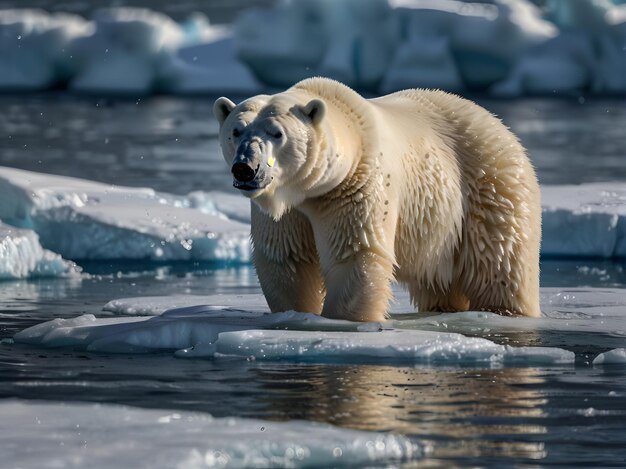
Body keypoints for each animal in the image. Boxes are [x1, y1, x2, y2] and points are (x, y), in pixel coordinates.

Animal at [212, 77, 540, 322]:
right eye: (236, 131)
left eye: (277, 133)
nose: (245, 167)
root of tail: (497, 123)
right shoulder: (287, 209)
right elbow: (286, 257)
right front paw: (296, 313)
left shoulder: (354, 187)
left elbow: (354, 255)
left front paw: (341, 319)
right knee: (439, 282)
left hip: (488, 186)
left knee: (500, 265)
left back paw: (505, 310)